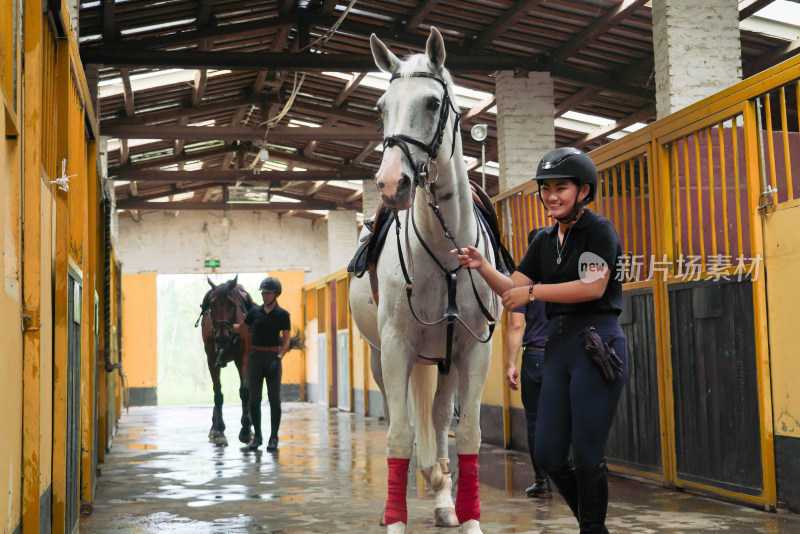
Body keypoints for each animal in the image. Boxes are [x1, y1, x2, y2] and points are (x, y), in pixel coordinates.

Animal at [200, 276, 253, 448]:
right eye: (212, 306)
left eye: (232, 304)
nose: (222, 337)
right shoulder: (211, 358)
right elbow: (217, 393)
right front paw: (220, 431)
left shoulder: (243, 356)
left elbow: (245, 391)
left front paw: (245, 430)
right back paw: (214, 427)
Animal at [350, 28, 500, 534]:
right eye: (381, 106)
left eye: (433, 103)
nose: (391, 184)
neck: (445, 252)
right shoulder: (397, 347)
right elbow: (399, 435)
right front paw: (395, 521)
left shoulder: (473, 349)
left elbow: (468, 433)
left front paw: (467, 516)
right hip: (382, 357)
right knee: (410, 421)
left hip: (445, 358)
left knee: (436, 418)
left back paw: (442, 497)